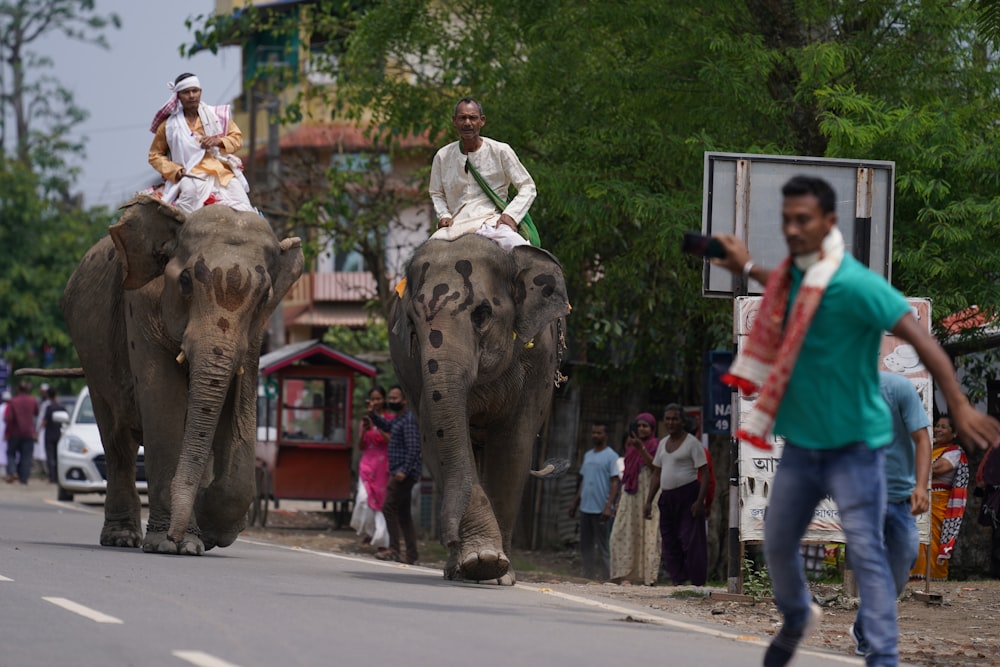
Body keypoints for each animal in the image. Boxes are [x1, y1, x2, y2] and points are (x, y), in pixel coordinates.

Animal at [57, 196, 300, 556]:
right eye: (185, 282)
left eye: (264, 297)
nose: (175, 535)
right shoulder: (141, 305)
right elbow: (165, 403)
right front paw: (171, 544)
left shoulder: (255, 334)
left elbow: (238, 406)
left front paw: (209, 534)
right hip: (92, 355)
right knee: (117, 441)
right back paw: (122, 538)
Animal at [386, 235, 568, 584]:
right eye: (412, 323)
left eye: (481, 314)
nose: (448, 540)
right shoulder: (417, 377)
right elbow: (439, 440)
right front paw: (479, 561)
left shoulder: (539, 360)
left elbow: (512, 448)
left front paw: (498, 573)